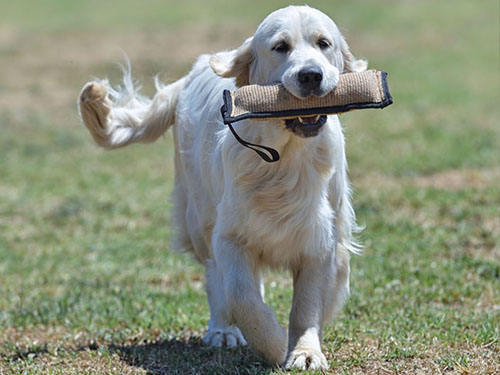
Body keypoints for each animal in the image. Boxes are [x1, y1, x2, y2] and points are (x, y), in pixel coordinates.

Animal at [79, 5, 368, 370]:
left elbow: (307, 306)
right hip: (200, 215)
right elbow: (242, 297)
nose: (311, 76)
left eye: (324, 43)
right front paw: (274, 343)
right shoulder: (230, 235)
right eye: (280, 47)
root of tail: (188, 78)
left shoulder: (321, 241)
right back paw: (223, 331)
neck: (285, 158)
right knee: (217, 279)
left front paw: (304, 352)